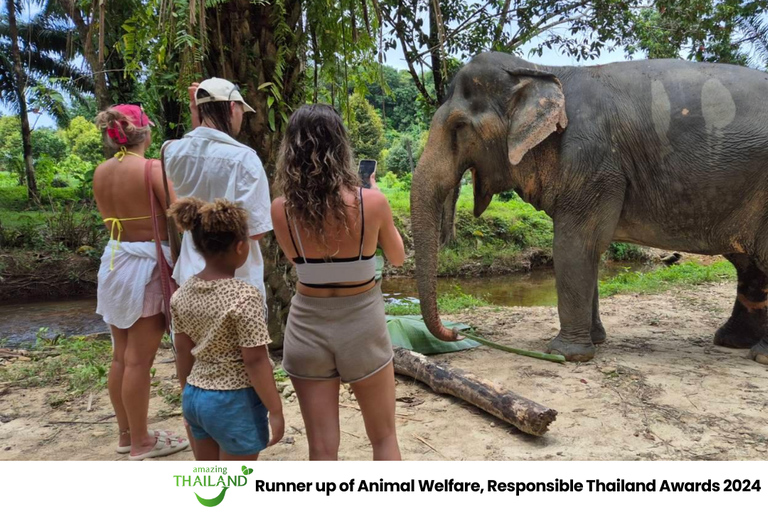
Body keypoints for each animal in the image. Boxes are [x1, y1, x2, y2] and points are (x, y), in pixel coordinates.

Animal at [411, 51, 768, 364]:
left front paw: (564, 354)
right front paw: (596, 341)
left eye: (459, 126)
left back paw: (759, 355)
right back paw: (731, 342)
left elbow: (574, 246)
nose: (458, 333)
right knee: (749, 265)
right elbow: (591, 251)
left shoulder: (592, 160)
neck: (543, 70)